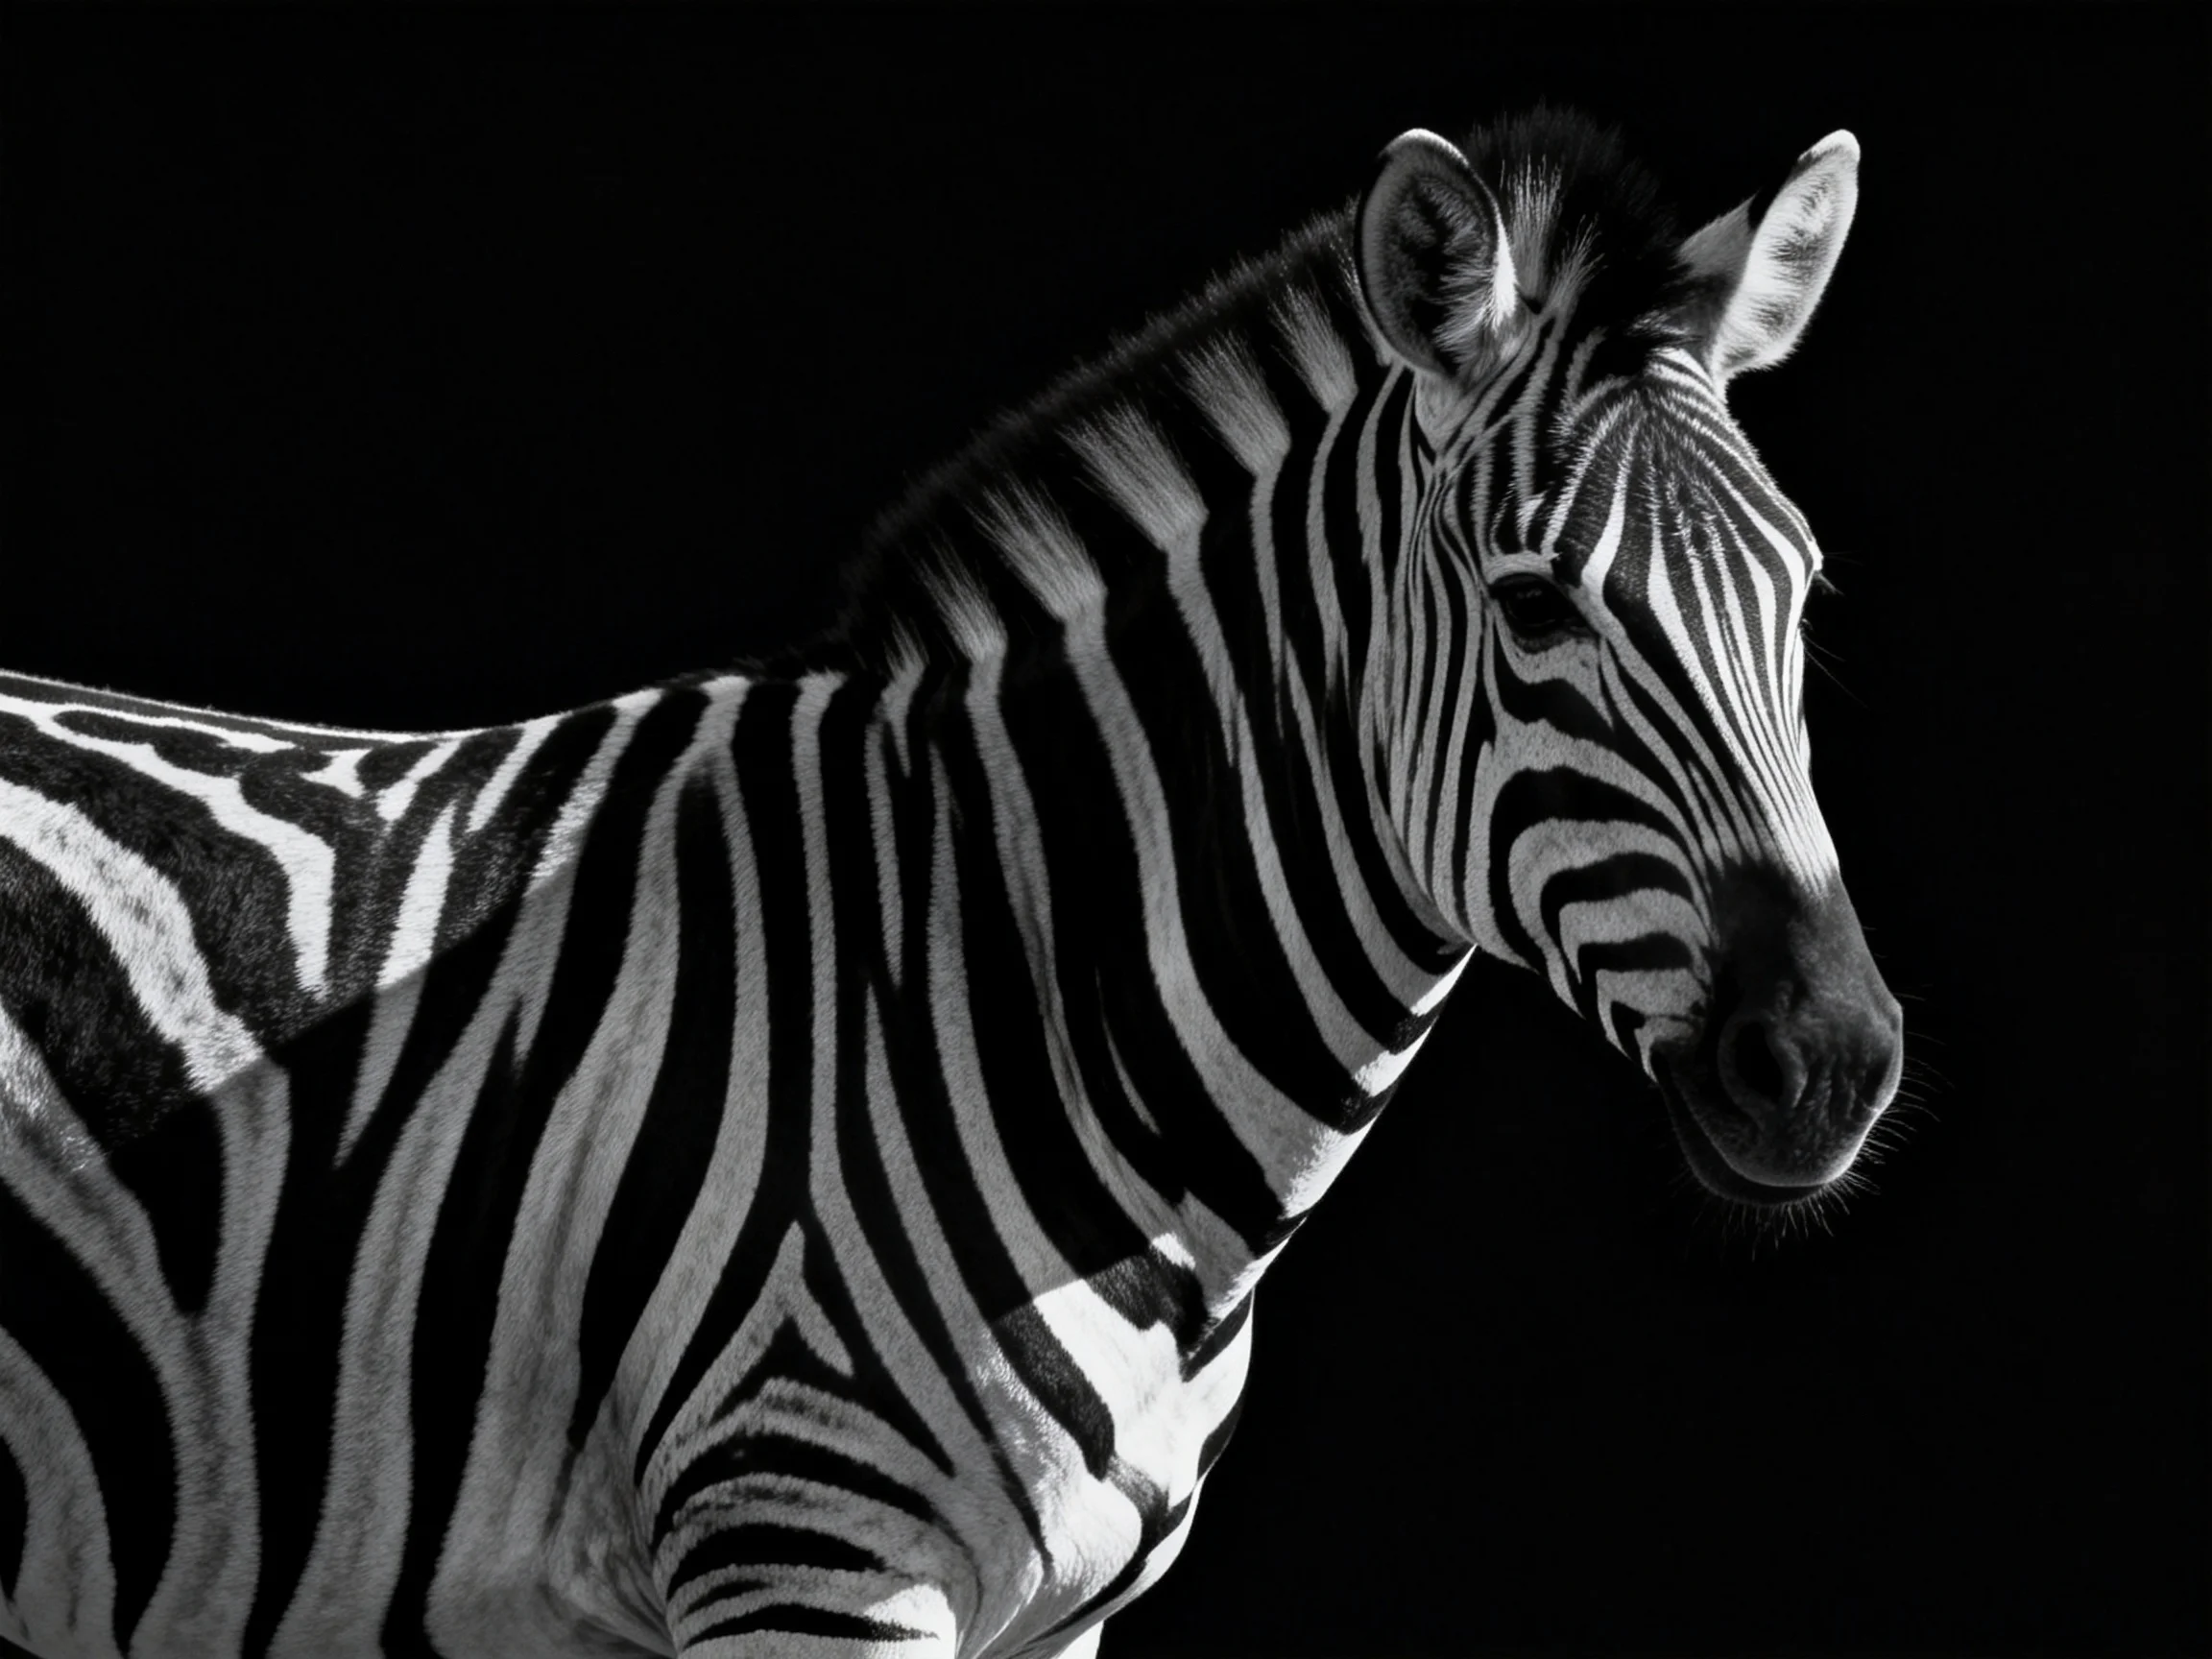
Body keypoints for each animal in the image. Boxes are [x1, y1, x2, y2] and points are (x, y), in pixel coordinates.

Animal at [0, 108, 1901, 1658]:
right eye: (1531, 609)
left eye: (1805, 595)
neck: (1017, 984)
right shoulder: (803, 1553)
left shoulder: (1049, 1620)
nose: (1828, 1064)